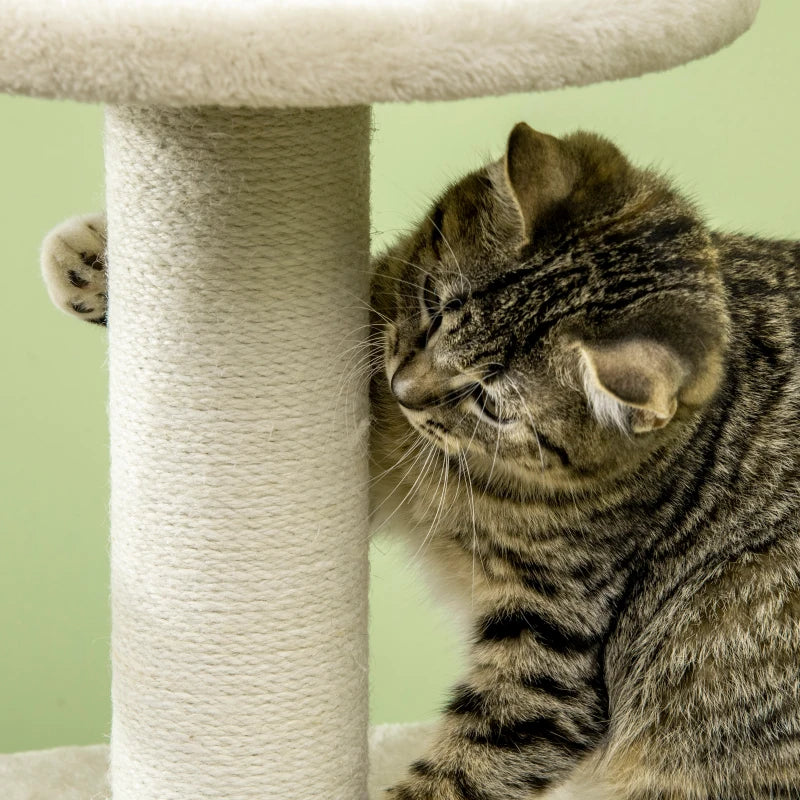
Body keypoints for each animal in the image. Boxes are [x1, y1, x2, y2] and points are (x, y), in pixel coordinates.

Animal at [42, 123, 800, 800]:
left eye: (491, 402)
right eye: (436, 306)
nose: (407, 388)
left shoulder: (553, 643)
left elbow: (475, 759)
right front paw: (97, 264)